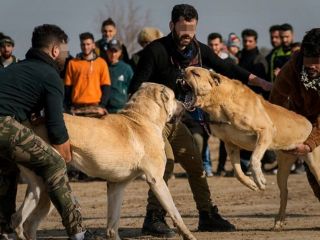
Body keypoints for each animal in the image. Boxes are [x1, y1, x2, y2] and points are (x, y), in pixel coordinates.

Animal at [11, 83, 196, 240]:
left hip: (37, 189)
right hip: (53, 187)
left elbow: (112, 225)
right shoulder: (157, 181)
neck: (141, 119)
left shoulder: (116, 186)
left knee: (20, 221)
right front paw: (188, 235)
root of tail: (29, 125)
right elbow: (175, 213)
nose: (184, 105)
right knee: (28, 223)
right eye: (173, 97)